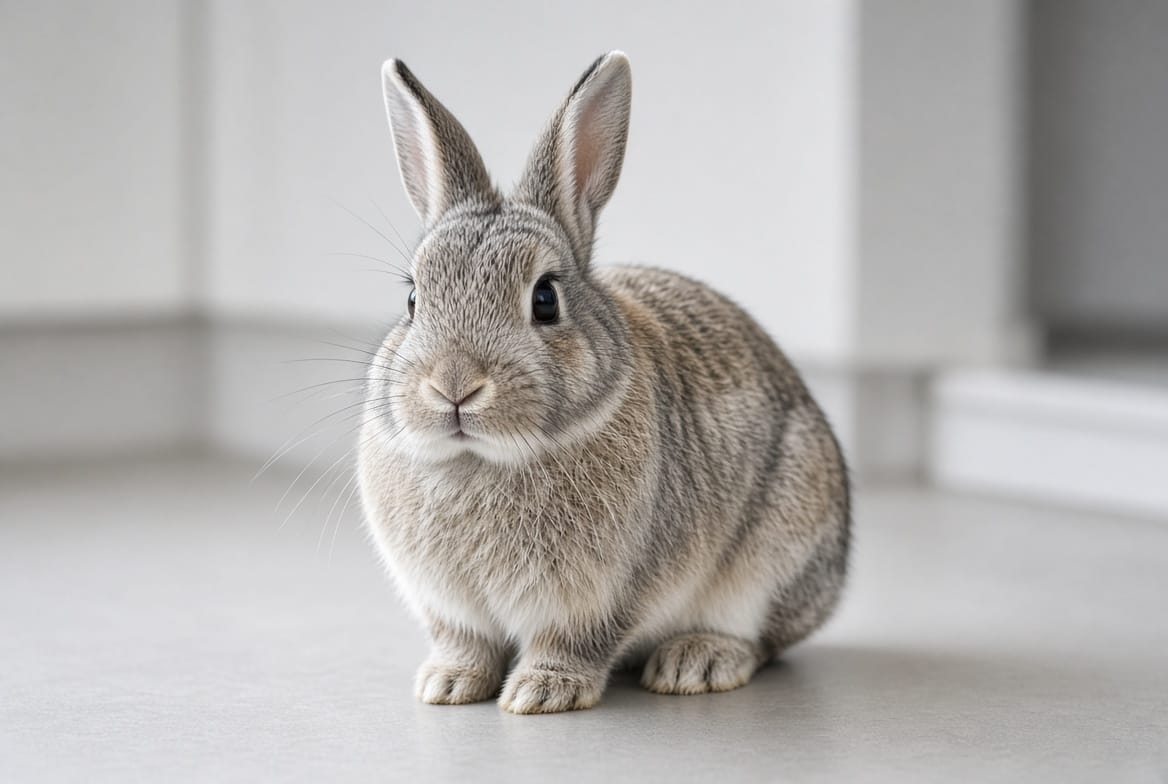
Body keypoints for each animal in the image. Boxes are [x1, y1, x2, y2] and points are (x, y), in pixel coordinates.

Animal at [357, 51, 850, 714]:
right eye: (412, 299)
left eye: (545, 299)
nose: (454, 386)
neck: (480, 460)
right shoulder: (452, 609)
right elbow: (465, 643)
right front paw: (447, 684)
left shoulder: (607, 594)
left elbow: (575, 643)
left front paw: (541, 692)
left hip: (777, 550)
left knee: (760, 637)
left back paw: (695, 662)